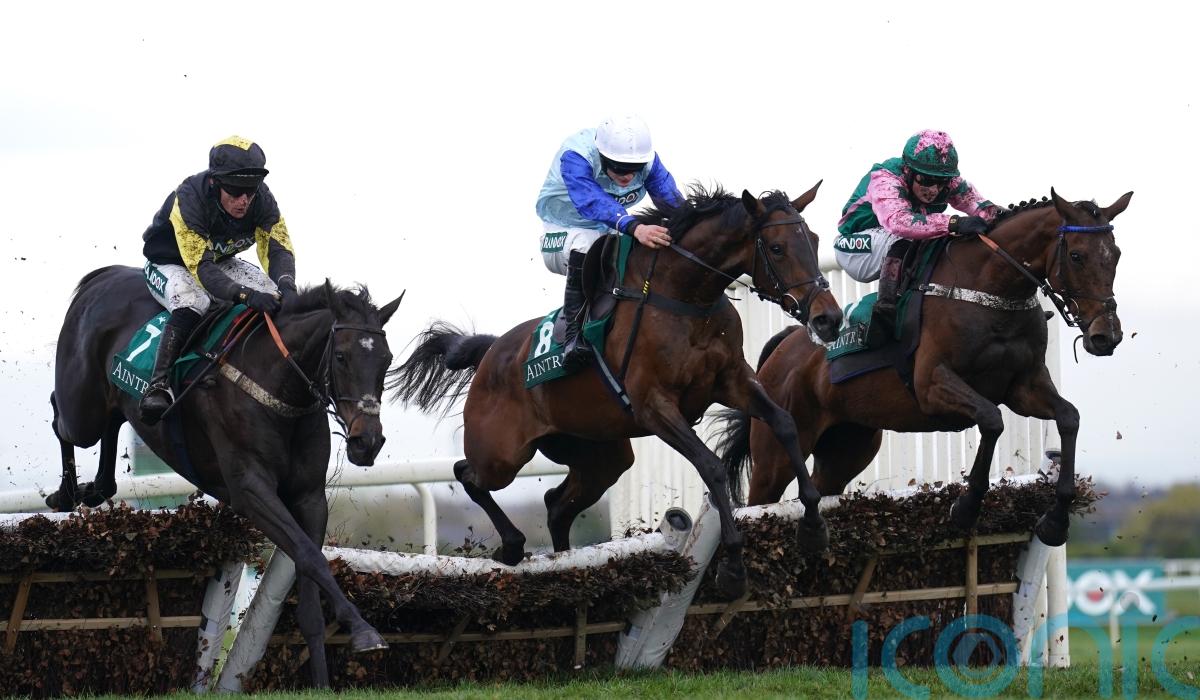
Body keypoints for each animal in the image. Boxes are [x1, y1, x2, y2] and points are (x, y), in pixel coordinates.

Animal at [45, 265, 404, 687]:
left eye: (387, 360)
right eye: (343, 356)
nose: (368, 442)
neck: (276, 383)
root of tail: (104, 276)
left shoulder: (310, 498)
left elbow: (310, 581)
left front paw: (321, 682)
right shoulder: (250, 491)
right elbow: (310, 558)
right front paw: (364, 631)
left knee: (112, 429)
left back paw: (93, 489)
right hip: (81, 408)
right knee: (61, 416)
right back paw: (65, 492)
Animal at [389, 183, 843, 599]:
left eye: (815, 240)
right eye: (778, 248)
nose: (829, 318)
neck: (684, 296)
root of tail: (491, 351)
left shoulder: (732, 379)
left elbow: (784, 424)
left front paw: (814, 526)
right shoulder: (655, 407)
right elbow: (711, 467)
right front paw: (732, 566)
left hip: (600, 455)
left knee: (556, 504)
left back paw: (564, 563)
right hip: (501, 454)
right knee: (467, 474)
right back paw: (514, 545)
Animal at [715, 188, 1132, 547]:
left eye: (1115, 254)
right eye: (1076, 256)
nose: (1106, 336)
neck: (991, 290)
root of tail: (785, 345)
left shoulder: (1024, 387)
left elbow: (1069, 417)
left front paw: (1056, 521)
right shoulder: (932, 385)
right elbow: (991, 419)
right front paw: (966, 508)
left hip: (847, 447)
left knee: (821, 485)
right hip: (776, 455)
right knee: (758, 502)